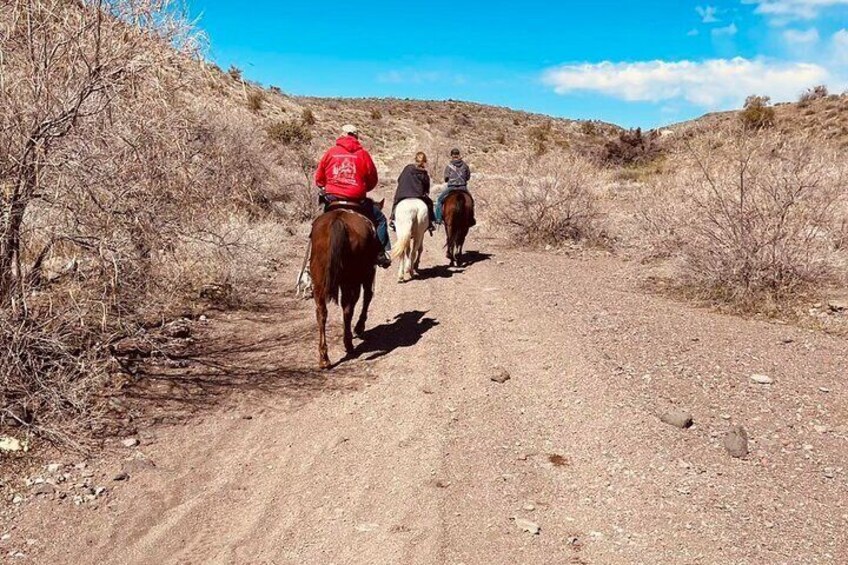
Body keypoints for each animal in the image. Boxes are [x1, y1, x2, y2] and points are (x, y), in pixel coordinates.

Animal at [308, 203, 380, 370]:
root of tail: (338, 221)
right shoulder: (369, 273)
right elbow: (368, 296)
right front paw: (359, 327)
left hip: (319, 281)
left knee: (322, 313)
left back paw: (324, 358)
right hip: (352, 280)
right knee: (348, 309)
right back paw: (348, 344)